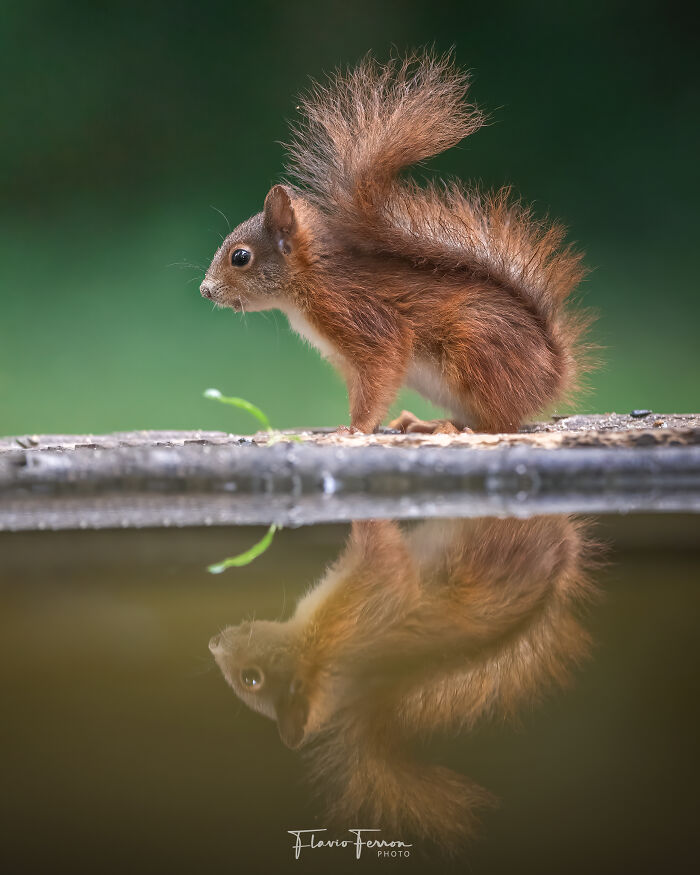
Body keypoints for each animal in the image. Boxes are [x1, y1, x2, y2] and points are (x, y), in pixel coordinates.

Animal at [200, 51, 591, 434]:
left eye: (240, 257)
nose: (206, 290)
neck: (312, 282)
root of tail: (552, 374)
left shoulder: (363, 319)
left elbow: (378, 379)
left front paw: (354, 429)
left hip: (478, 346)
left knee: (499, 423)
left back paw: (453, 430)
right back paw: (423, 422)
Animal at [209, 516, 598, 849]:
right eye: (251, 679)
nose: (213, 643)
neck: (320, 656)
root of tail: (566, 548)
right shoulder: (367, 602)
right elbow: (384, 551)